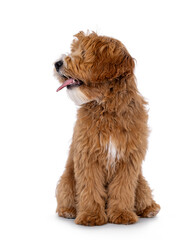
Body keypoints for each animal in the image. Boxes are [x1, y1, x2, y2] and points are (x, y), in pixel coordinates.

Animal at [53, 31, 160, 225]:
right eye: (74, 50)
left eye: (84, 53)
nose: (57, 63)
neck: (108, 108)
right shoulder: (88, 156)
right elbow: (90, 188)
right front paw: (90, 215)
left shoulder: (128, 160)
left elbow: (123, 189)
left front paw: (122, 214)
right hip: (67, 180)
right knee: (66, 196)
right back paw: (68, 211)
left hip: (141, 182)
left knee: (143, 194)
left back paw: (149, 209)